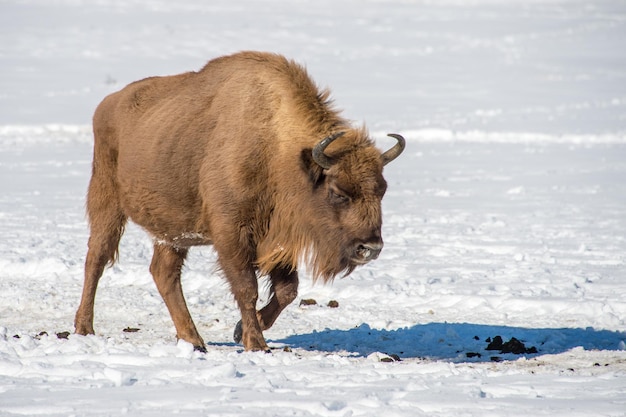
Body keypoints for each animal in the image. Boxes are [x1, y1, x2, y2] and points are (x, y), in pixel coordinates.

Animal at [73, 52, 404, 352]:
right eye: (338, 192)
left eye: (382, 190)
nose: (370, 248)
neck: (280, 150)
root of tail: (108, 104)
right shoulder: (232, 233)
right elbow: (247, 288)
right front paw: (256, 344)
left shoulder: (278, 240)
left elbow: (287, 291)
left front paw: (238, 331)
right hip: (107, 202)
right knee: (96, 259)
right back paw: (84, 328)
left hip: (171, 232)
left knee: (163, 273)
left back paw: (193, 340)